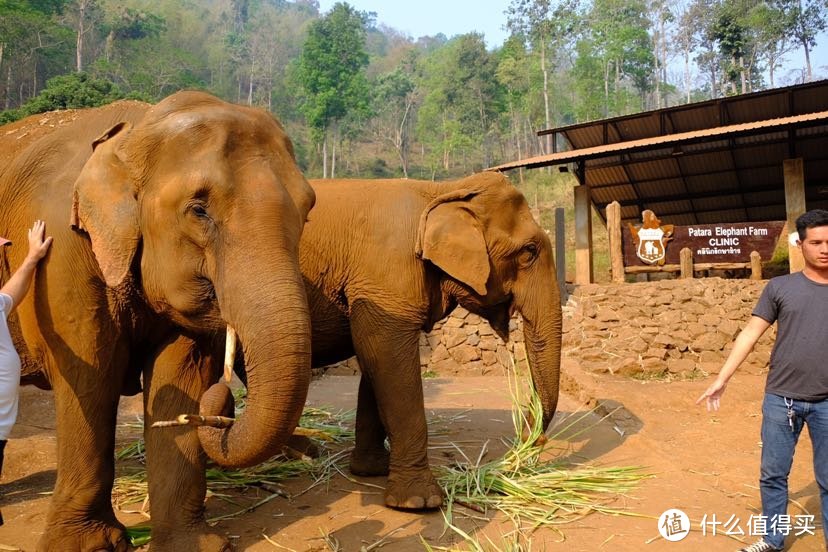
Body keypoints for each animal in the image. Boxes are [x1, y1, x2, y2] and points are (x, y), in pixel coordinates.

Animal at [0, 92, 316, 548]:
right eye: (198, 210)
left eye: (308, 209)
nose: (220, 408)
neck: (137, 128)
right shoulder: (62, 252)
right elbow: (91, 373)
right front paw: (86, 546)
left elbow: (180, 373)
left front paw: (190, 544)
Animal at [298, 175, 564, 512]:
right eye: (529, 252)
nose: (532, 441)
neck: (442, 190)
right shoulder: (388, 275)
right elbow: (388, 355)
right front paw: (419, 502)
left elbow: (374, 359)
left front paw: (373, 470)